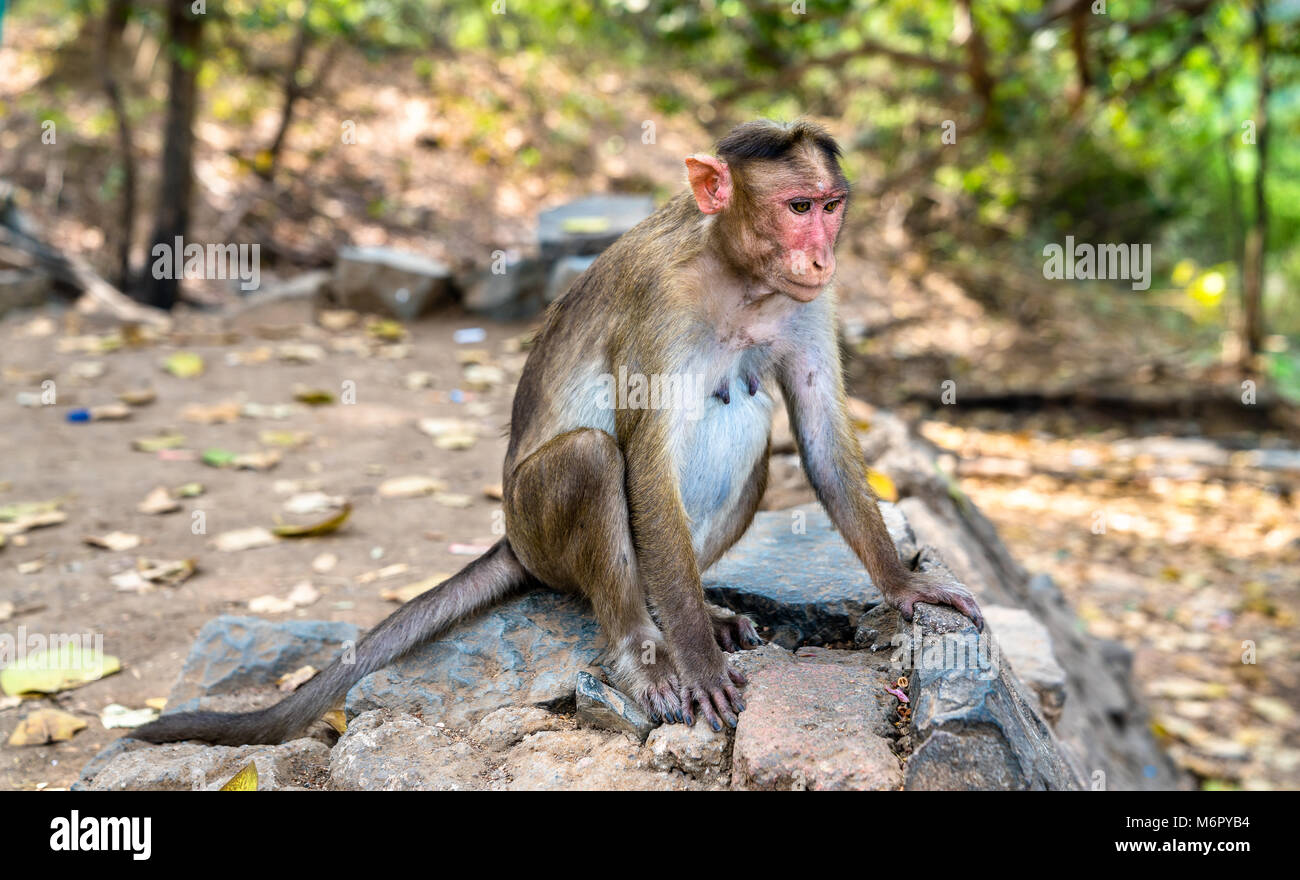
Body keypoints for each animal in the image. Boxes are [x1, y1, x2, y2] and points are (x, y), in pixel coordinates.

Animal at [134, 120, 982, 743]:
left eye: (831, 206)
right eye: (798, 208)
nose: (822, 254)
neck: (737, 274)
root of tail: (511, 540)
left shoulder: (806, 303)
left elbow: (819, 424)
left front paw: (903, 584)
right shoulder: (660, 301)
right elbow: (644, 460)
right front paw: (697, 663)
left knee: (748, 416)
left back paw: (690, 612)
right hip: (538, 534)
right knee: (592, 458)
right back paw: (644, 647)